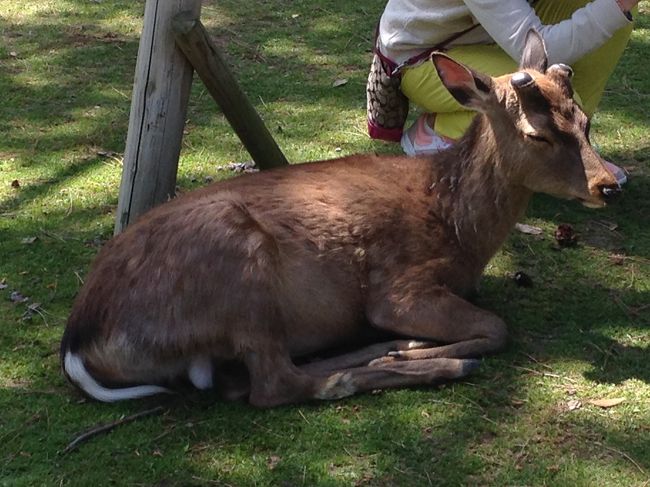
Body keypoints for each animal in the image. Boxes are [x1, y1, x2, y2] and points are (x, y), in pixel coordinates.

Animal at [59, 31, 616, 408]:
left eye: (586, 121)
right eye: (538, 134)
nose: (607, 184)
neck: (462, 232)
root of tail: (77, 343)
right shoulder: (399, 286)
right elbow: (498, 328)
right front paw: (442, 348)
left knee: (246, 379)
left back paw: (395, 348)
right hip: (239, 263)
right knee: (274, 385)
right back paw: (436, 361)